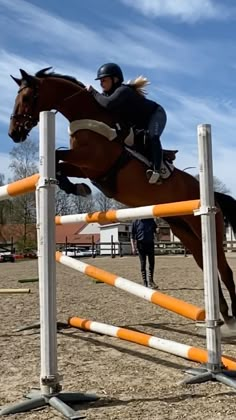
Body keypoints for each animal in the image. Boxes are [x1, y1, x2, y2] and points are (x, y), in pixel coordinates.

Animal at [8, 68, 236, 324]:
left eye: (27, 98)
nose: (13, 133)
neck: (89, 118)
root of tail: (212, 194)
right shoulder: (85, 168)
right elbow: (58, 163)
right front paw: (78, 188)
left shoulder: (92, 161)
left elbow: (57, 155)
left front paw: (77, 188)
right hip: (183, 229)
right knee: (206, 264)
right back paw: (222, 312)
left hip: (206, 225)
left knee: (223, 267)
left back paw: (232, 313)